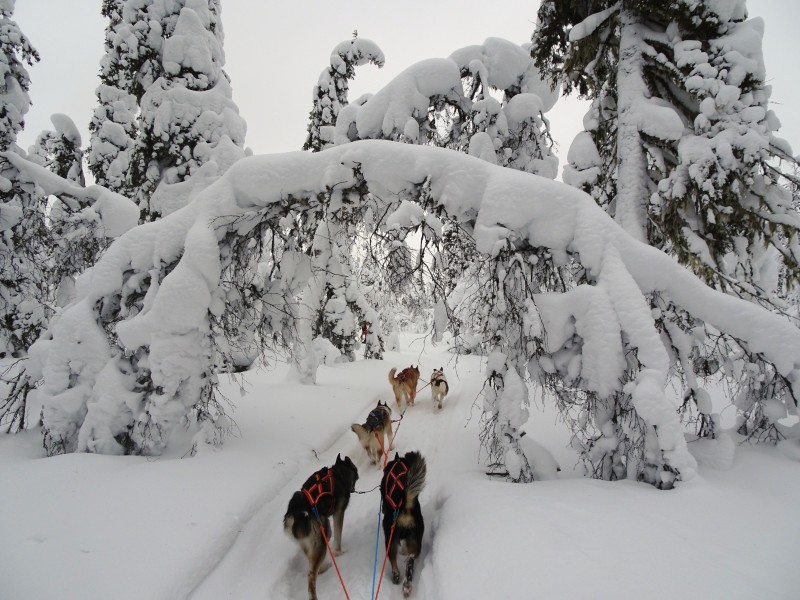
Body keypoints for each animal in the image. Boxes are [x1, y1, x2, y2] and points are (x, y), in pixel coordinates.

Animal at [282, 454, 356, 600]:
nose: (354, 489)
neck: (339, 472)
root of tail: (295, 514)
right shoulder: (339, 512)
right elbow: (338, 537)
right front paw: (339, 552)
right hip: (323, 534)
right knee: (311, 576)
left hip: (311, 542)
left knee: (313, 567)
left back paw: (323, 567)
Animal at [380, 450, 424, 596]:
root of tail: (405, 506)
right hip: (416, 540)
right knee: (410, 561)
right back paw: (407, 585)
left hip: (390, 538)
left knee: (393, 561)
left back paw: (396, 576)